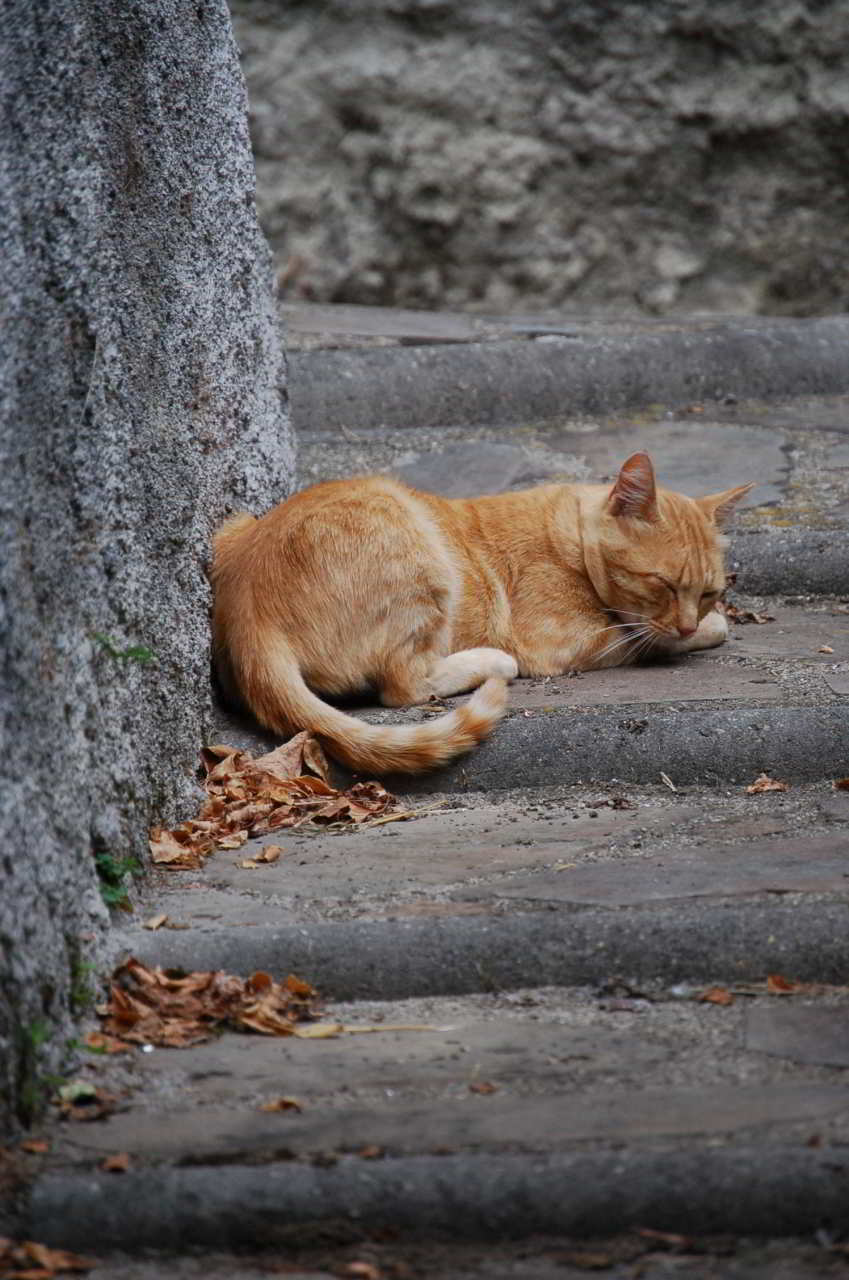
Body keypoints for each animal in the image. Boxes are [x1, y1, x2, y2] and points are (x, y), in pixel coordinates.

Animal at [211, 450, 752, 768]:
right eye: (662, 584)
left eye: (708, 591)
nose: (687, 623)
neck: (572, 532)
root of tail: (247, 616)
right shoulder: (565, 642)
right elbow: (662, 636)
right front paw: (706, 630)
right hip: (419, 556)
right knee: (403, 686)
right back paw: (490, 662)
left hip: (234, 526)